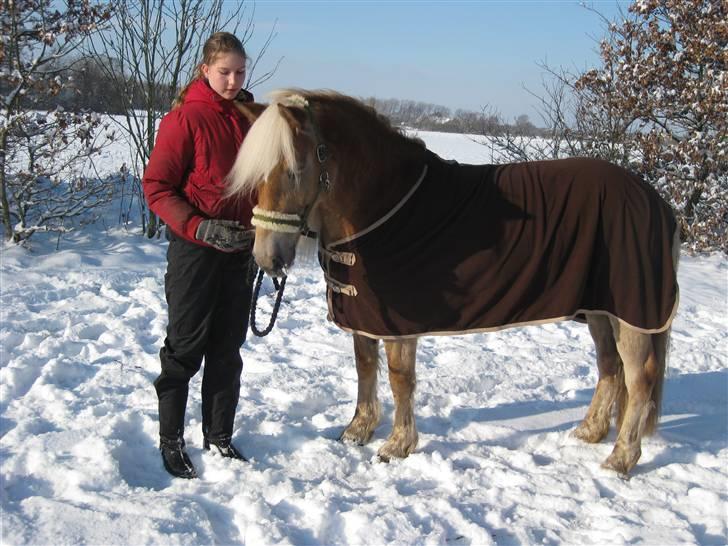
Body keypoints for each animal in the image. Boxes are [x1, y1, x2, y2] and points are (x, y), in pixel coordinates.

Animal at [229, 89, 684, 472]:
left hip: (632, 315)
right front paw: (357, 431)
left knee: (639, 379)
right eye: (257, 175)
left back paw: (621, 459)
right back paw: (589, 432)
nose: (267, 258)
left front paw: (396, 445)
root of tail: (656, 201)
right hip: (600, 311)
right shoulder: (365, 316)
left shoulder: (398, 326)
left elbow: (399, 379)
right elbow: (364, 368)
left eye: (294, 170)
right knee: (609, 367)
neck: (386, 207)